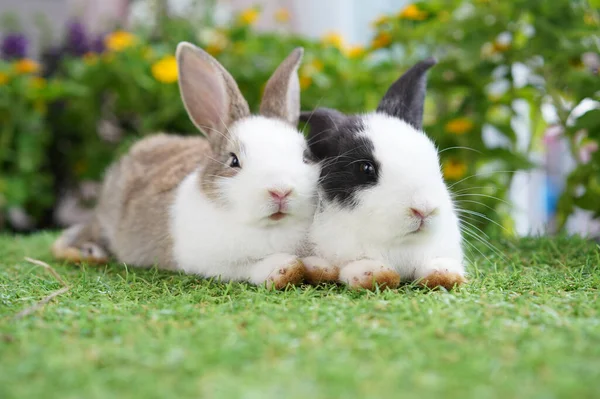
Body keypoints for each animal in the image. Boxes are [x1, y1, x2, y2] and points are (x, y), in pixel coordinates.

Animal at [53, 42, 322, 290]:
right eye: (233, 160)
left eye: (305, 155)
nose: (281, 191)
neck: (270, 228)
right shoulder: (212, 262)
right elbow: (248, 267)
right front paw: (283, 268)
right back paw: (89, 252)